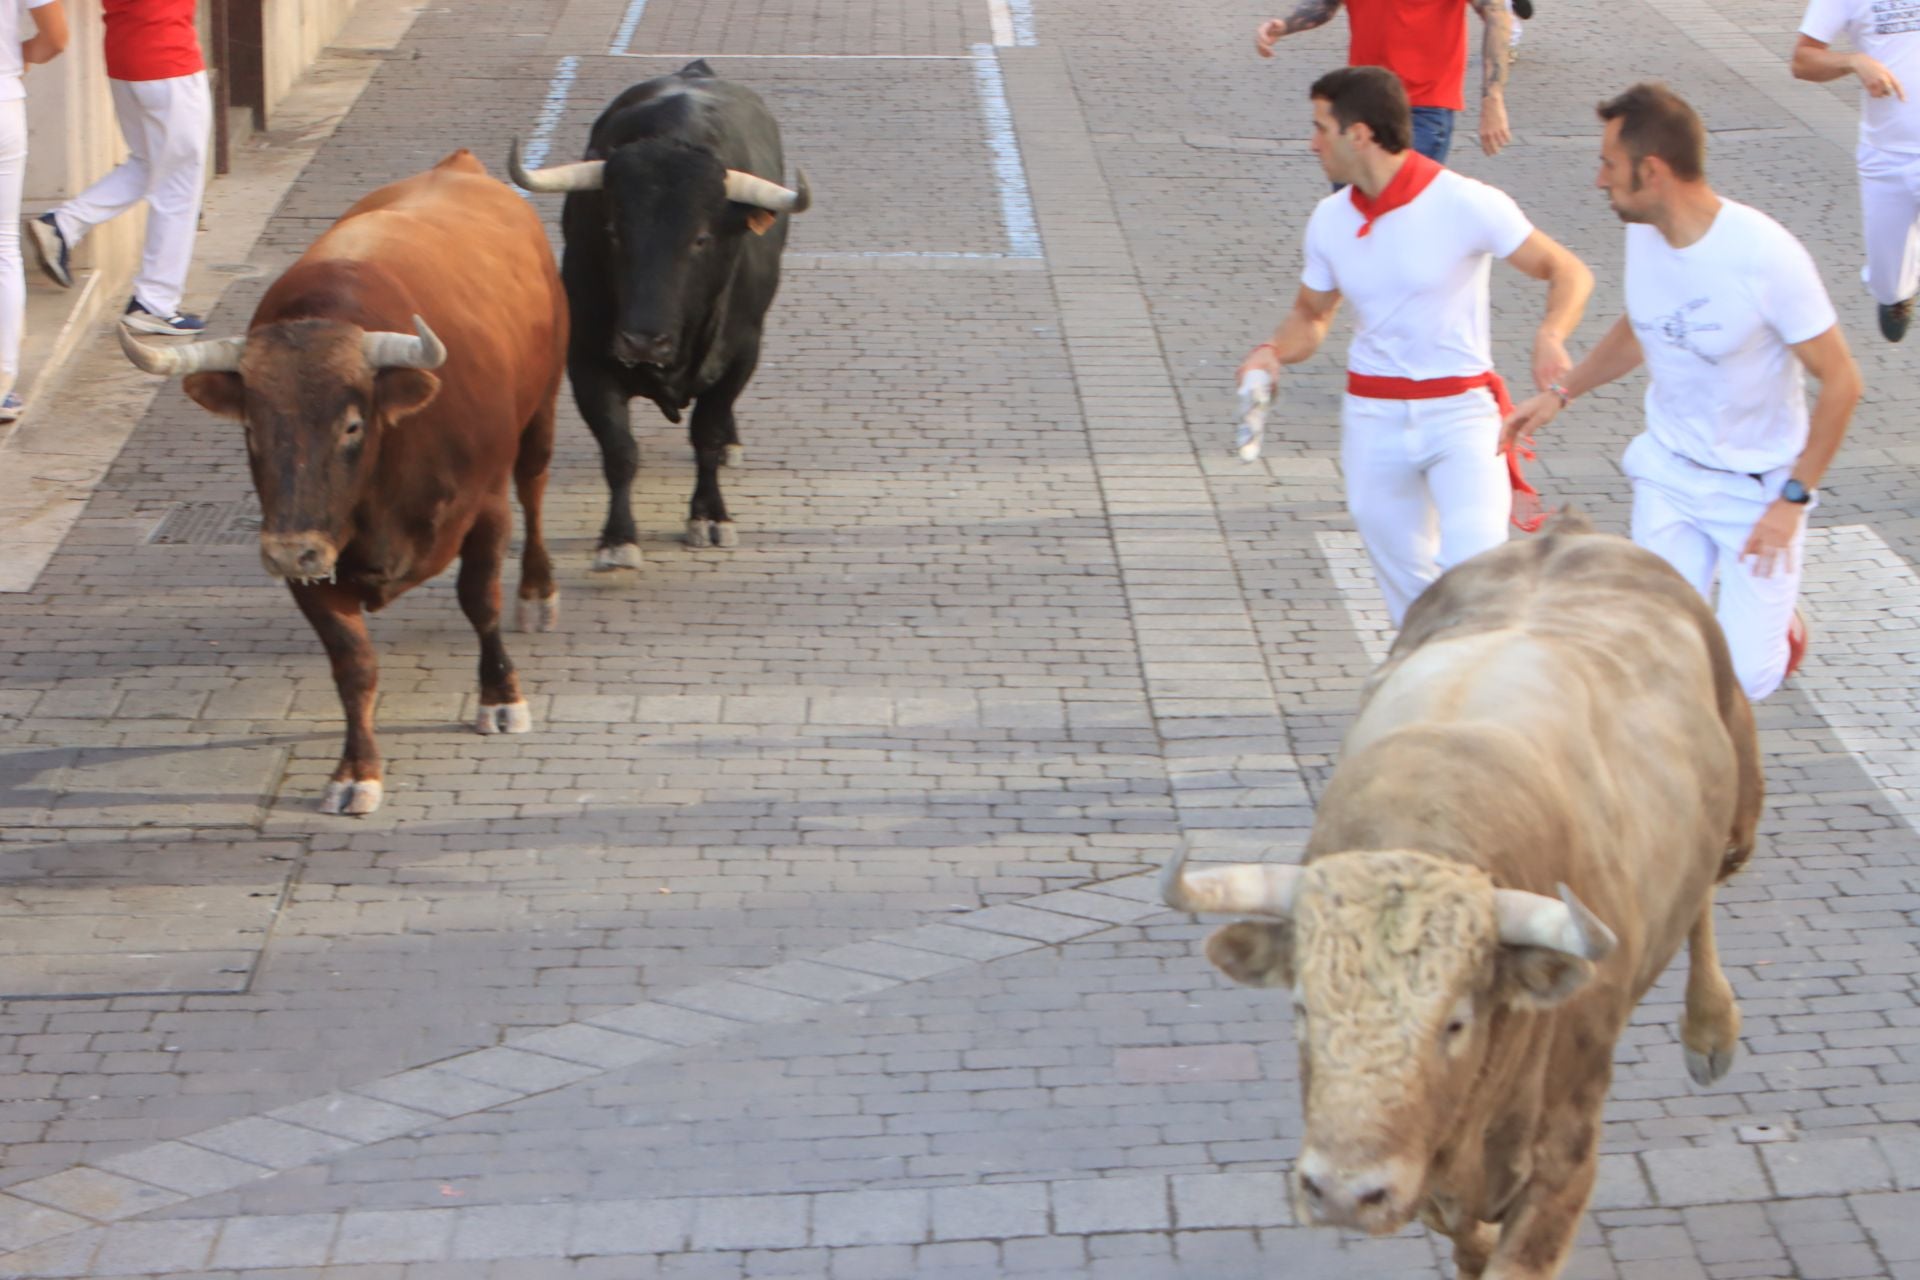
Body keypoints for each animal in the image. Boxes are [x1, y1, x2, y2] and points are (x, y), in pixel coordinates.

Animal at [122, 147, 560, 809]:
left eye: (352, 425)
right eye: (251, 427)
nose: (288, 550)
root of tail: (461, 166)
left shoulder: (485, 509)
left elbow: (480, 601)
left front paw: (501, 697)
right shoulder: (310, 556)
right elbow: (353, 664)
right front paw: (356, 771)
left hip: (544, 407)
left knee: (533, 488)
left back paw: (537, 590)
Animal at [506, 55, 806, 564]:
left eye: (701, 238)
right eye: (612, 231)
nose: (643, 340)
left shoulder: (742, 353)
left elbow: (706, 434)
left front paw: (710, 516)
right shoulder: (586, 361)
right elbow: (619, 450)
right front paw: (618, 538)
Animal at [1159, 514, 1758, 1280]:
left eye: (1455, 1023)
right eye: (1301, 1009)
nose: (1344, 1194)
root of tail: (1570, 535)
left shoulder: (1565, 1160)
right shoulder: (1439, 1186)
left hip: (1741, 810)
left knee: (1709, 892)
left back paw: (1711, 1031)